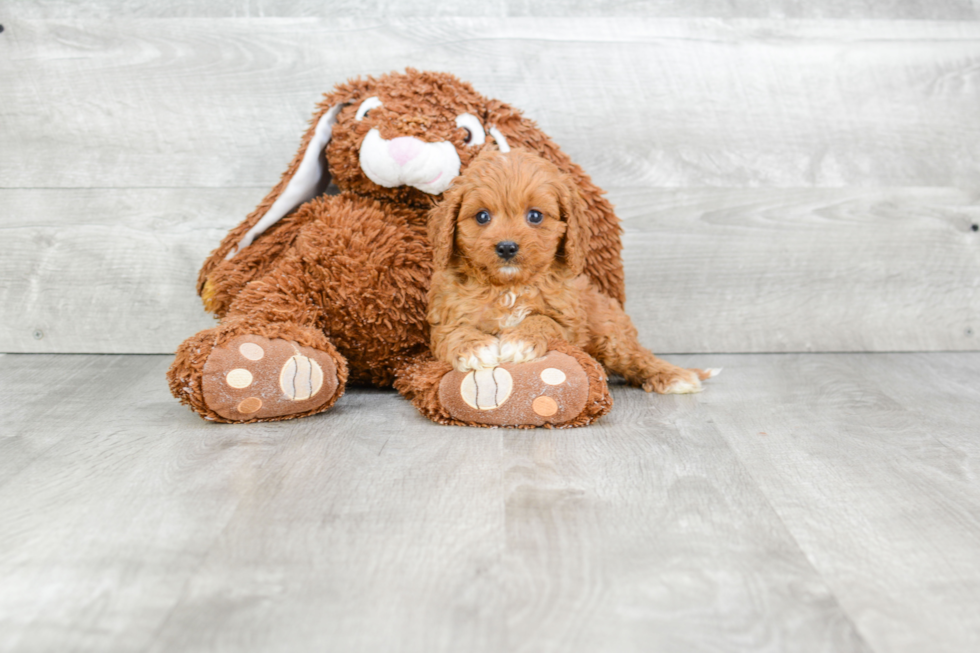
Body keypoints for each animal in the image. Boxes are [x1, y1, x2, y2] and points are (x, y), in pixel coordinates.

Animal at [424, 148, 716, 392]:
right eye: (482, 216)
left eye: (535, 216)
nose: (507, 247)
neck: (509, 286)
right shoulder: (446, 318)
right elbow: (455, 332)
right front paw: (475, 348)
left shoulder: (569, 324)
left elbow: (543, 320)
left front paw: (520, 340)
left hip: (610, 333)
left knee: (636, 356)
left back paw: (675, 376)